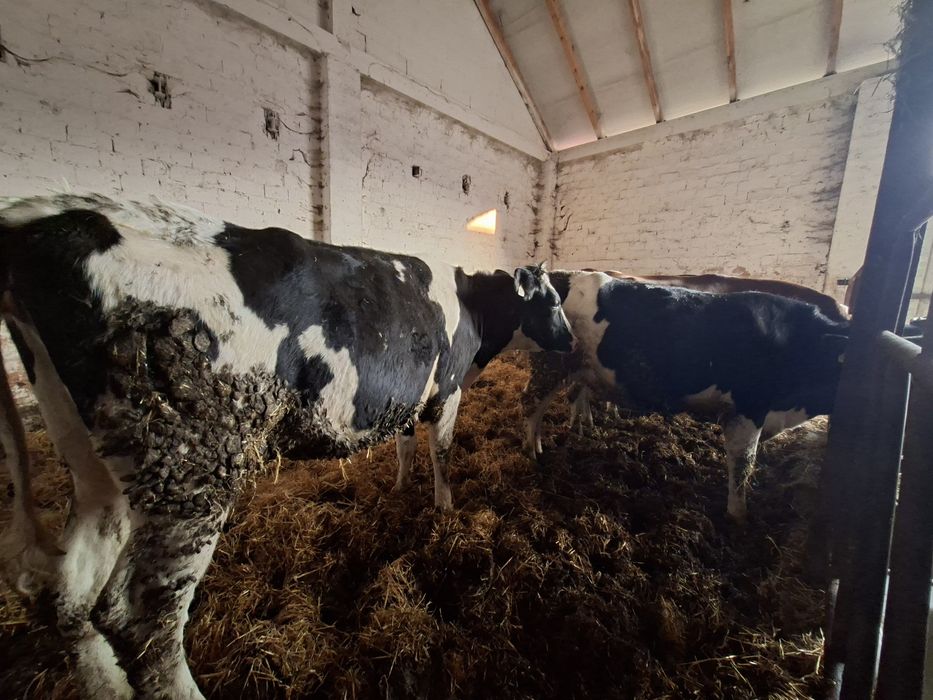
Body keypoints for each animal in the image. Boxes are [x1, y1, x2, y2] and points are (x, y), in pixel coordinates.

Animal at [0, 193, 574, 700]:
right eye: (550, 300)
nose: (570, 341)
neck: (473, 313)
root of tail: (42, 216)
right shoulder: (448, 390)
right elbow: (444, 453)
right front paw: (445, 508)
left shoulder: (403, 397)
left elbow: (406, 448)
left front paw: (399, 488)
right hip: (192, 471)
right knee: (142, 622)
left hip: (97, 466)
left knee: (70, 594)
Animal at [523, 271, 849, 524]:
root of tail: (561, 276)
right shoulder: (748, 408)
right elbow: (743, 462)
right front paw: (738, 514)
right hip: (550, 366)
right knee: (531, 403)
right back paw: (530, 451)